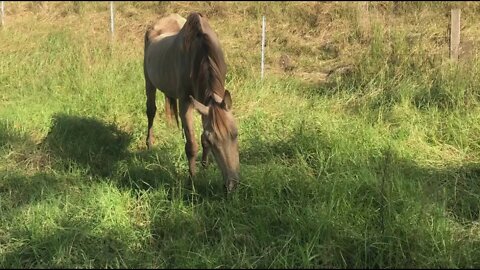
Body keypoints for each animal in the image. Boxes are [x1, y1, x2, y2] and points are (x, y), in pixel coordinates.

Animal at [142, 13, 240, 194]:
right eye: (213, 141)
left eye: (235, 134)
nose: (232, 185)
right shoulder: (186, 101)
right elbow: (192, 146)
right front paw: (192, 182)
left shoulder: (203, 101)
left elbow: (200, 138)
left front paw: (205, 167)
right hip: (149, 83)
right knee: (151, 111)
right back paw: (149, 144)